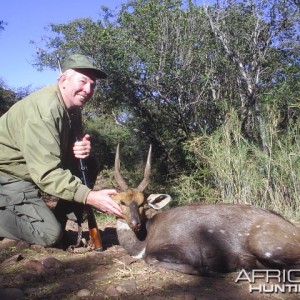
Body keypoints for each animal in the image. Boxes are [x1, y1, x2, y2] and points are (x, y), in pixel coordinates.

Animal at [112, 145, 300, 274]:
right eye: (121, 202)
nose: (135, 223)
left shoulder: (181, 251)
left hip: (265, 245)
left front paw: (207, 270)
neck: (143, 242)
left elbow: (151, 259)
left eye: (143, 203)